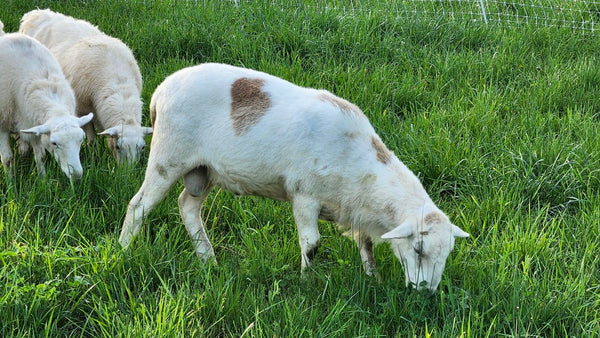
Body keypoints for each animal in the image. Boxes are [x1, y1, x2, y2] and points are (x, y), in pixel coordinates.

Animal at [0, 24, 94, 180]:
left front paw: (42, 178)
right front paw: (10, 181)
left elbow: (40, 156)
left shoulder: (32, 123)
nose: (76, 176)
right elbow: (7, 159)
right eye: (54, 143)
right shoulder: (2, 123)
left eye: (81, 139)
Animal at [20, 9, 154, 165]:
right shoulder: (82, 109)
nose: (128, 170)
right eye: (118, 146)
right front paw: (93, 156)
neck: (118, 84)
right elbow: (91, 139)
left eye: (143, 147)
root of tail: (34, 13)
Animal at [119, 62, 472, 290]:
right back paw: (123, 250)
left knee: (187, 206)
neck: (359, 162)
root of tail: (160, 92)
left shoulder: (354, 206)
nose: (425, 291)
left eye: (447, 253)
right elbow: (312, 244)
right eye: (418, 249)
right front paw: (307, 283)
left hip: (203, 170)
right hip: (169, 156)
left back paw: (208, 260)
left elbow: (367, 244)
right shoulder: (304, 194)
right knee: (138, 205)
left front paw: (373, 277)